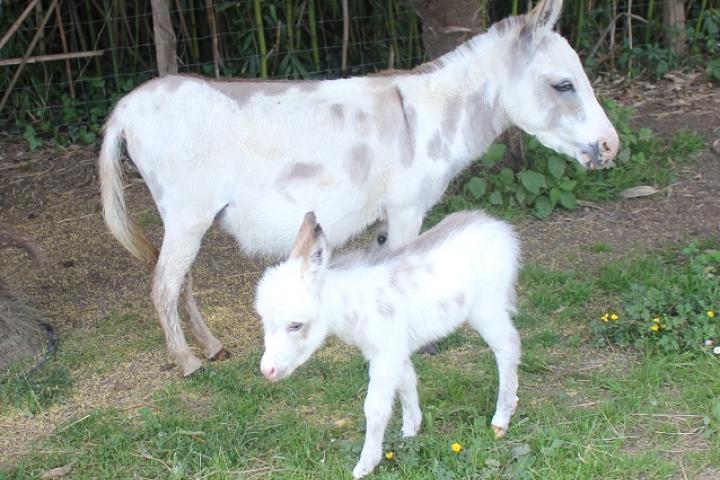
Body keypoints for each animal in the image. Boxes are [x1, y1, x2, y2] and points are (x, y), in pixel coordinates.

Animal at [256, 212, 520, 478]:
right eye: (265, 321)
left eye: (296, 325)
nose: (267, 370)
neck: (353, 304)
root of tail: (495, 224)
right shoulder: (394, 350)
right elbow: (407, 383)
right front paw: (410, 432)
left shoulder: (385, 354)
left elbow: (375, 407)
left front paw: (364, 466)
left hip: (486, 308)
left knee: (508, 348)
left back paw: (501, 421)